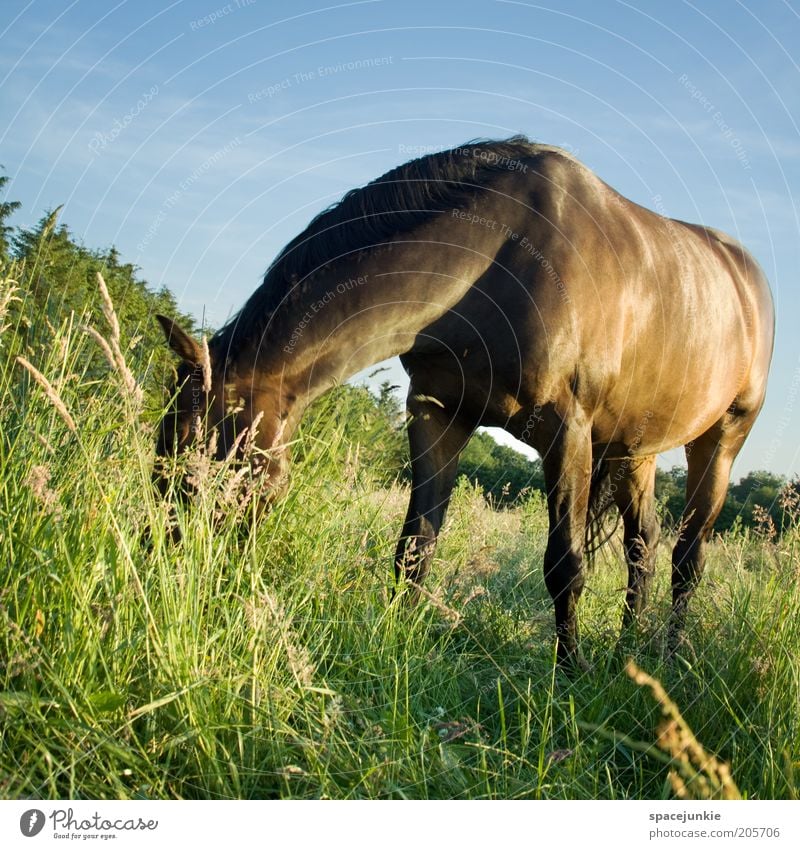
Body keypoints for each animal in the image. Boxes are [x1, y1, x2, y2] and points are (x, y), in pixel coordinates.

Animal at [155, 137, 776, 668]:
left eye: (203, 464)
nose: (170, 571)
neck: (496, 259)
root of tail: (747, 277)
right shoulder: (437, 414)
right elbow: (414, 546)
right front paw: (393, 644)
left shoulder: (566, 433)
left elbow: (566, 564)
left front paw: (571, 675)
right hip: (634, 447)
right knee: (642, 546)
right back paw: (629, 650)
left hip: (721, 440)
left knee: (686, 560)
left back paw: (668, 659)